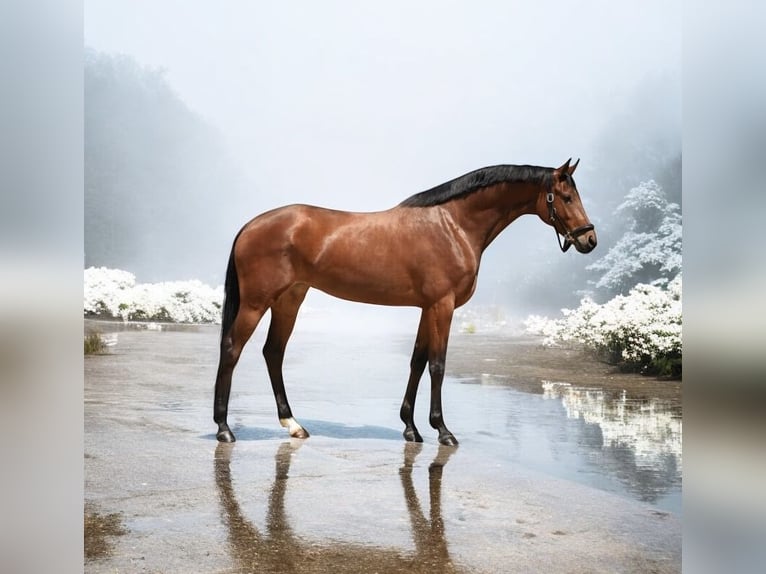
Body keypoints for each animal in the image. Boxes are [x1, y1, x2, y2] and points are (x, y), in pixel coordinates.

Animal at [213, 160, 596, 448]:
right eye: (565, 196)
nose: (589, 239)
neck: (453, 225)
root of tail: (250, 226)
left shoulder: (428, 308)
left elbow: (417, 362)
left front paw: (411, 428)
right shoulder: (443, 306)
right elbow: (438, 365)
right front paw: (443, 430)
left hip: (290, 298)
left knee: (273, 352)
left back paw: (293, 424)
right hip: (257, 302)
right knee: (232, 349)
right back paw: (224, 428)